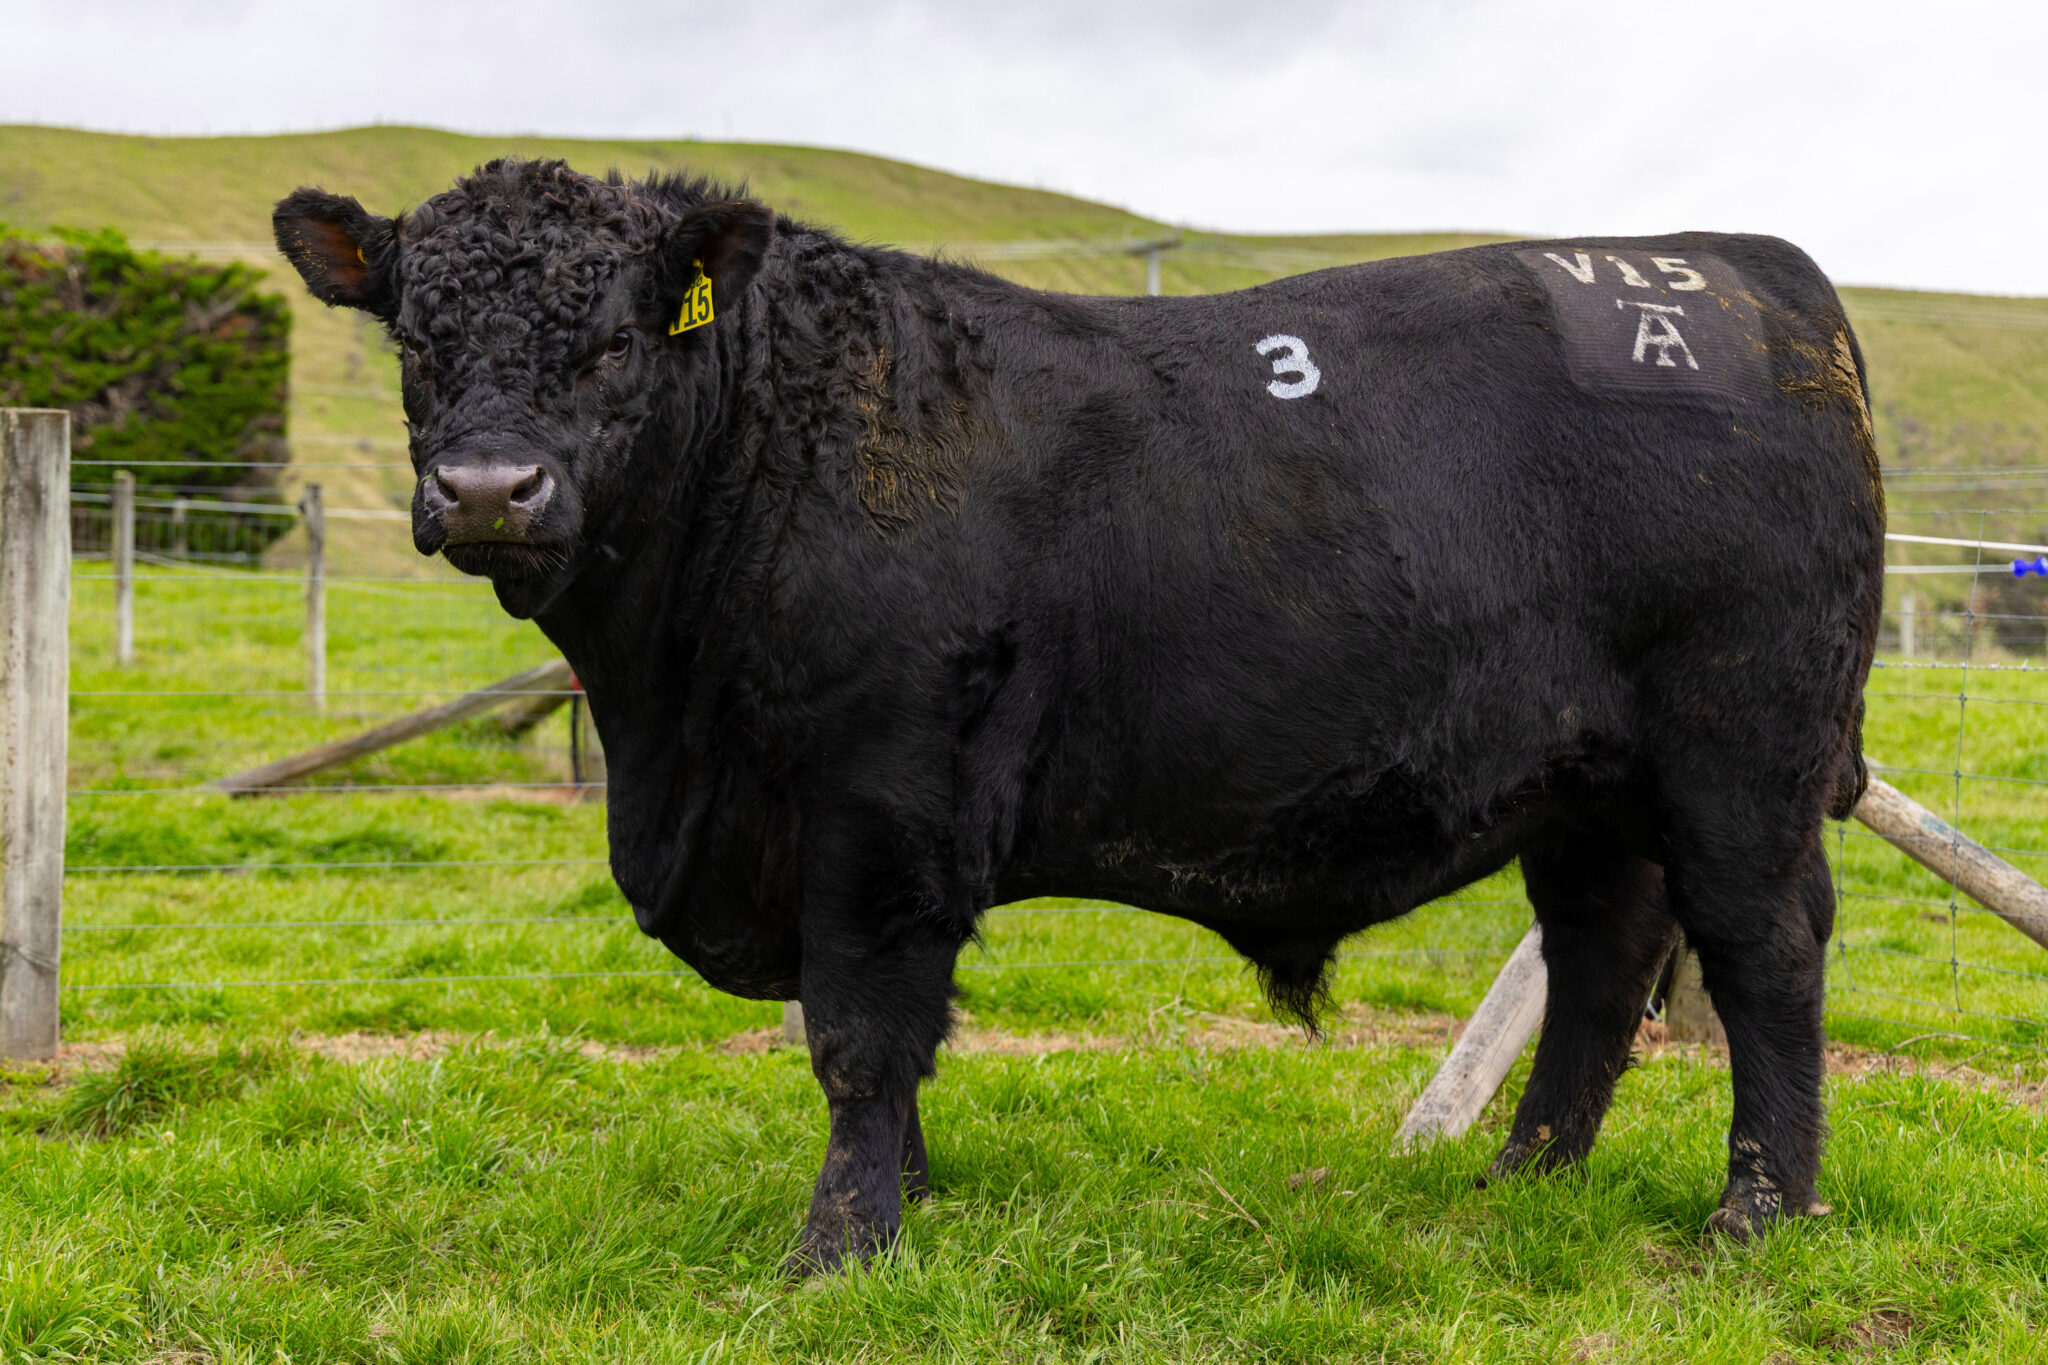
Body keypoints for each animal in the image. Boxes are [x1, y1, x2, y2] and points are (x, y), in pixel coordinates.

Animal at [274, 159, 1884, 1274]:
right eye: (413, 342)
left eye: (614, 342)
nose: (488, 489)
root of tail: (1743, 270)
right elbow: (881, 1042)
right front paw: (912, 1198)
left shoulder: (880, 807)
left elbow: (858, 1031)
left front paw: (838, 1247)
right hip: (1585, 784)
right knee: (1603, 958)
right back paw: (1522, 1181)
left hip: (1739, 756)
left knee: (1763, 952)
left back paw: (1756, 1215)